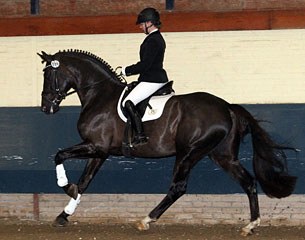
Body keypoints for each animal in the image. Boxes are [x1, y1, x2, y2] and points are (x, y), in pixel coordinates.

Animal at [37, 49, 294, 235]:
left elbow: (59, 155)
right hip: (222, 156)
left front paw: (65, 186)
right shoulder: (100, 151)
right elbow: (84, 182)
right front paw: (64, 214)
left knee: (178, 187)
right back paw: (250, 225)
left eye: (48, 76)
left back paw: (146, 219)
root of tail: (227, 108)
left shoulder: (96, 146)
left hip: (188, 152)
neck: (99, 95)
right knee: (248, 182)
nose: (46, 108)